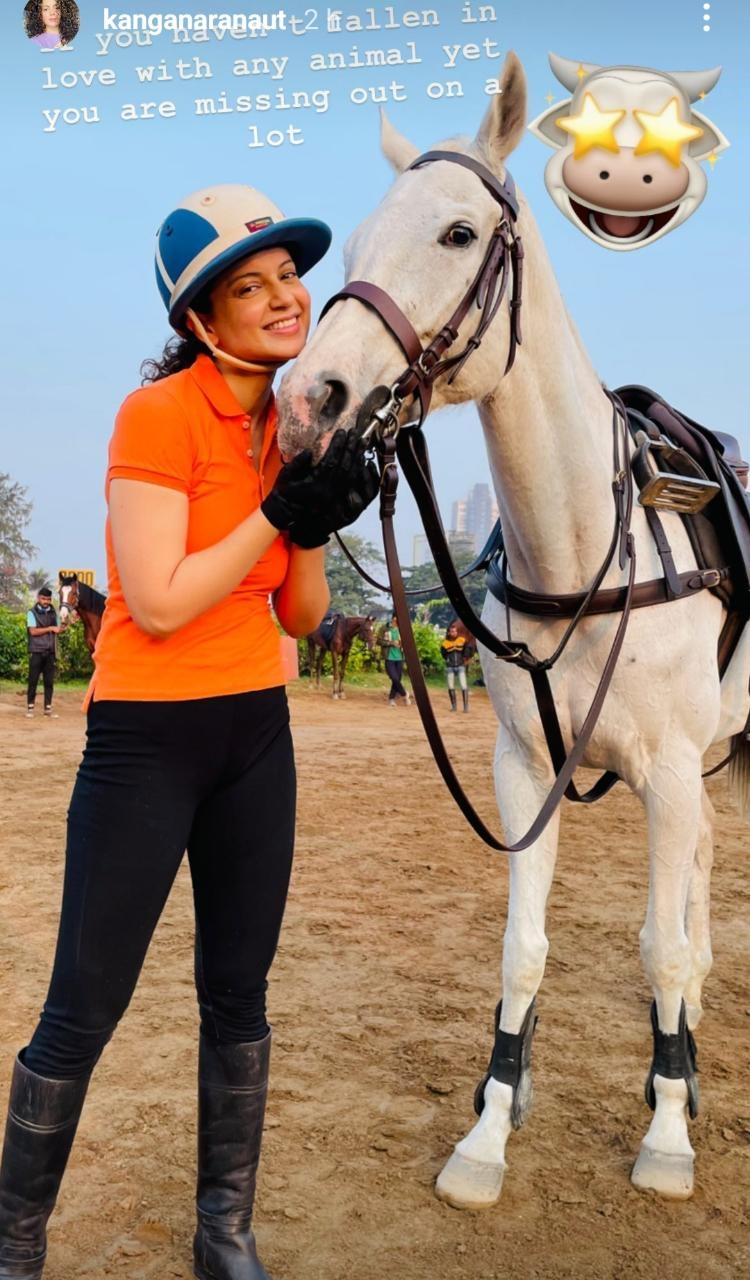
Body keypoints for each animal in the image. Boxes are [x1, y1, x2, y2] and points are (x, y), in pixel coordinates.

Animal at [276, 52, 747, 1208]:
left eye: (456, 233)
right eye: (352, 245)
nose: (311, 401)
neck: (582, 549)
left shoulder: (670, 769)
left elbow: (660, 952)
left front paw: (666, 1132)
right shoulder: (525, 768)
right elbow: (524, 952)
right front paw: (489, 1133)